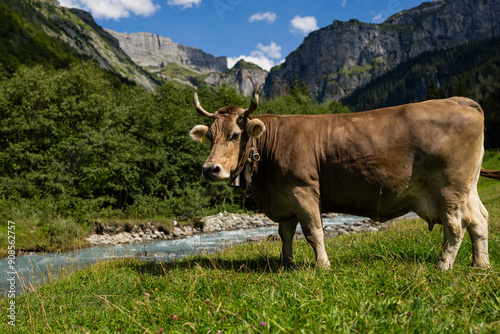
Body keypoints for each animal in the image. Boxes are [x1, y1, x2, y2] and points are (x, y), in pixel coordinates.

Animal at [188, 84, 500, 272]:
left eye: (235, 135)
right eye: (210, 136)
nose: (210, 169)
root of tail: (459, 101)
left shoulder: (302, 189)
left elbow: (314, 232)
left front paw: (323, 266)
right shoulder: (285, 198)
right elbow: (285, 234)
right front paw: (287, 265)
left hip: (449, 186)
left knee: (456, 225)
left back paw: (443, 266)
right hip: (468, 187)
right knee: (479, 219)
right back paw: (481, 265)